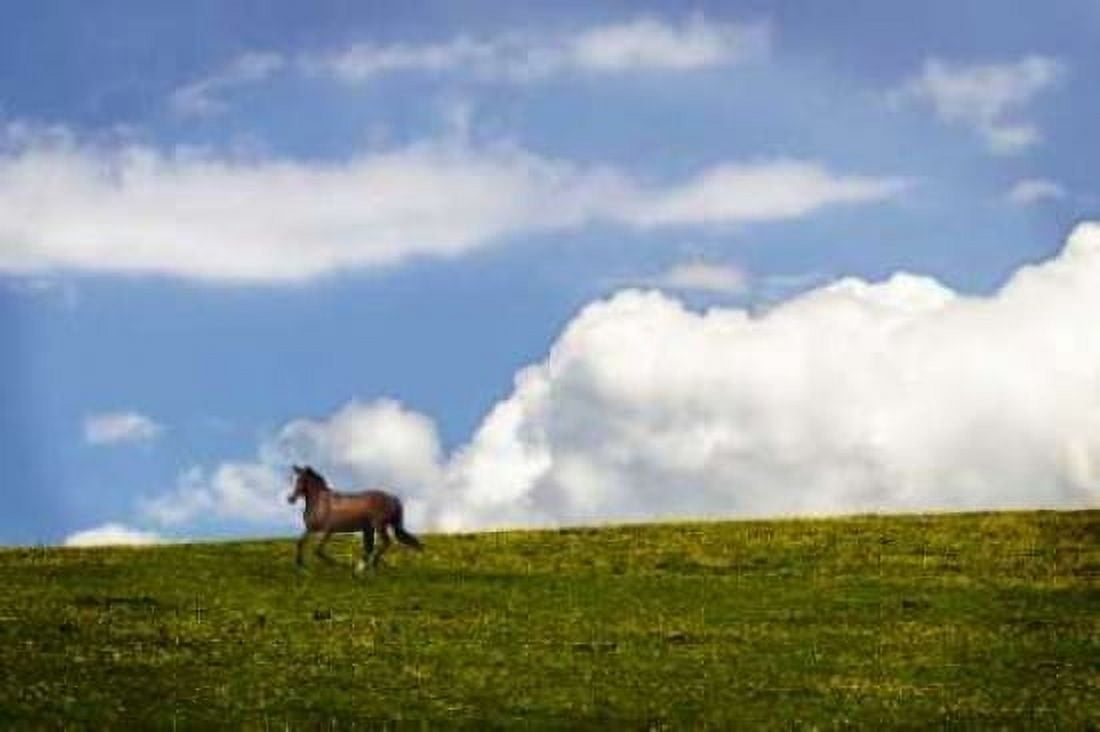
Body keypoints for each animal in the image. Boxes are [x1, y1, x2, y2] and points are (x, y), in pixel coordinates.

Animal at [287, 464, 423, 571]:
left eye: (302, 480)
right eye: (294, 480)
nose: (290, 499)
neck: (321, 502)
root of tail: (392, 498)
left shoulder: (328, 530)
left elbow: (318, 551)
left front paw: (341, 565)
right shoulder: (311, 529)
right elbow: (300, 543)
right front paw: (300, 566)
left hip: (379, 525)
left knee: (385, 542)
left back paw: (368, 566)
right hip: (369, 528)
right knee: (370, 547)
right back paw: (362, 568)